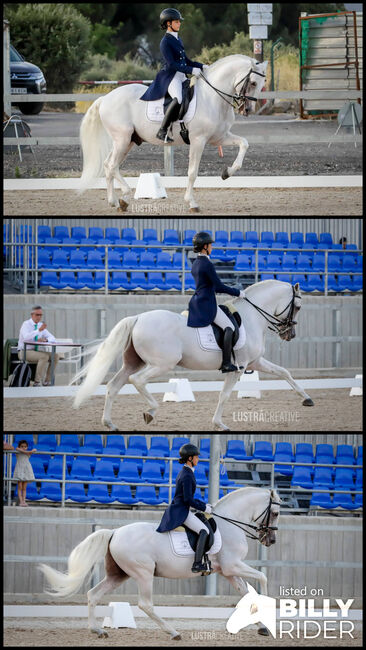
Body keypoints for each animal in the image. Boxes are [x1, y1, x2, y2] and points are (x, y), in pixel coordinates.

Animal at [38, 484, 282, 636]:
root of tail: (115, 532)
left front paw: (262, 626)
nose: (271, 540)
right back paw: (173, 632)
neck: (229, 523)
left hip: (119, 574)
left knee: (93, 594)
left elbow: (246, 593)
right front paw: (267, 617)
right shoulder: (233, 565)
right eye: (276, 513)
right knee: (145, 604)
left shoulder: (227, 571)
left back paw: (97, 630)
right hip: (143, 573)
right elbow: (263, 577)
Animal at [71, 278, 314, 430]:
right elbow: (224, 395)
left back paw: (109, 423)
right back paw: (151, 411)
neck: (252, 316)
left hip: (133, 362)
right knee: (136, 380)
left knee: (114, 386)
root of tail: (138, 318)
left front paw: (307, 399)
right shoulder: (240, 367)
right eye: (298, 307)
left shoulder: (255, 362)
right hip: (162, 364)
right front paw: (219, 424)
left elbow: (284, 372)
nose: (289, 334)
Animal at [78, 54, 268, 210]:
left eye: (262, 85)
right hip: (122, 139)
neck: (212, 97)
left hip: (128, 141)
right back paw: (122, 197)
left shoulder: (218, 138)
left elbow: (244, 144)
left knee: (109, 165)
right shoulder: (198, 140)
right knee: (111, 165)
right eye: (253, 83)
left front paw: (227, 173)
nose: (247, 109)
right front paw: (192, 203)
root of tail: (105, 98)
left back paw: (117, 201)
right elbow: (192, 173)